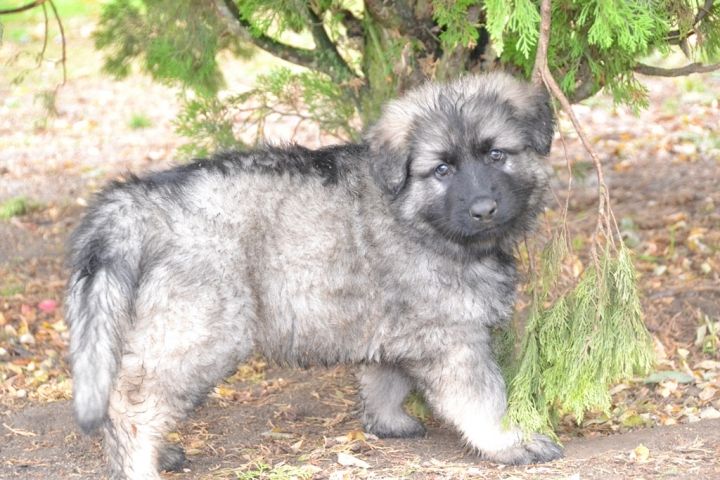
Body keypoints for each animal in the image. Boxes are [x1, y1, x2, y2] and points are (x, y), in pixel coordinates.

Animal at [65, 72, 561, 479]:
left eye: (496, 154)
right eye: (442, 169)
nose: (484, 209)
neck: (412, 213)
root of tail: (136, 201)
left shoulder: (397, 325)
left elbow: (385, 378)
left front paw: (386, 422)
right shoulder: (452, 335)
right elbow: (483, 396)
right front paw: (510, 442)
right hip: (202, 330)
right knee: (133, 402)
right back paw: (140, 464)